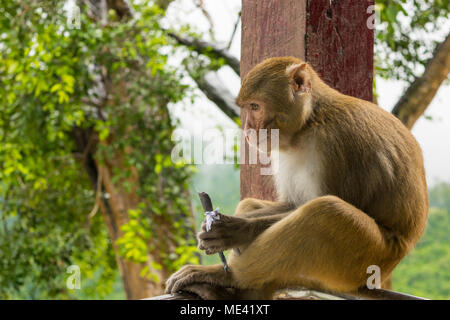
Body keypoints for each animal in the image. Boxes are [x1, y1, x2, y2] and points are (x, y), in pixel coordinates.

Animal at [165, 56, 428, 298]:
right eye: (247, 107)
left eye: (255, 107)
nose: (247, 130)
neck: (309, 123)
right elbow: (292, 203)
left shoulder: (337, 143)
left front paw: (234, 230)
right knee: (257, 205)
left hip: (369, 261)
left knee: (328, 212)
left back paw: (231, 277)